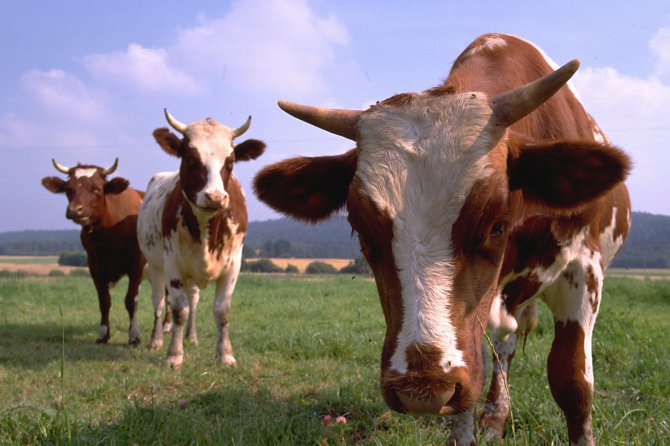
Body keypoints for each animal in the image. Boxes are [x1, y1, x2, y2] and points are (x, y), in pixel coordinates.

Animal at [42, 159, 148, 344]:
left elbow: (131, 300)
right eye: (68, 189)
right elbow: (104, 302)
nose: (74, 209)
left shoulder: (137, 264)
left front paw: (134, 336)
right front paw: (103, 334)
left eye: (97, 189)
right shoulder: (94, 266)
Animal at [138, 110, 266, 368]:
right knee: (159, 301)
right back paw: (156, 340)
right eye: (190, 159)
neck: (207, 229)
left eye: (230, 162)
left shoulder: (233, 263)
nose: (215, 197)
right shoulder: (172, 264)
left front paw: (225, 354)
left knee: (194, 301)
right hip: (155, 265)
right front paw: (174, 355)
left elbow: (221, 311)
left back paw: (192, 336)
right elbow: (179, 310)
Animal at [253, 34, 636, 446]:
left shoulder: (584, 269)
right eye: (361, 228)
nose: (423, 390)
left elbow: (572, 382)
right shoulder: (473, 325)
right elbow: (472, 381)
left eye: (496, 224)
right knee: (504, 344)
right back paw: (495, 416)